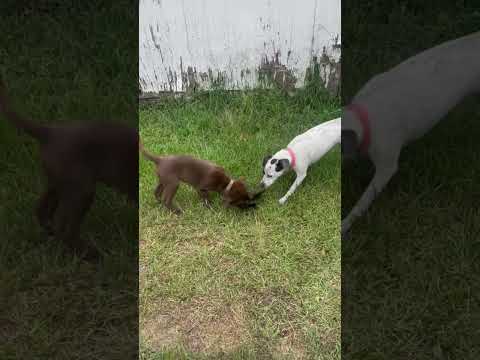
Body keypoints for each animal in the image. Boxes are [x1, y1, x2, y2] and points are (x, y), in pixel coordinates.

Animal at [0, 81, 139, 256]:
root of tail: (49, 132)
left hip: (59, 184)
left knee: (42, 211)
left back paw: (52, 235)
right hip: (81, 190)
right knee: (66, 228)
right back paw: (88, 254)